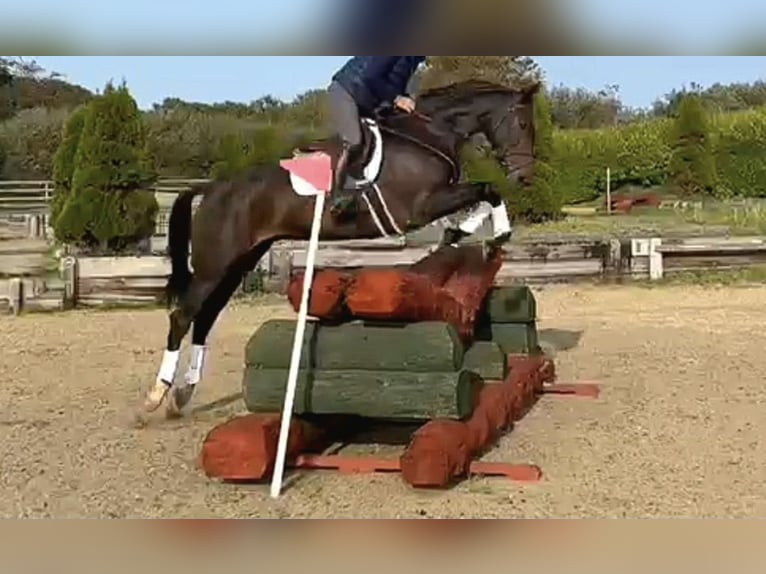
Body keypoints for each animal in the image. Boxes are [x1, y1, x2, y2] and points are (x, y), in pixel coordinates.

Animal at [141, 79, 539, 418]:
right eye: (522, 123)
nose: (525, 176)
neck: (429, 134)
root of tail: (212, 189)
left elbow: (484, 195)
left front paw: (468, 233)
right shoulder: (420, 208)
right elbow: (488, 190)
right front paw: (483, 233)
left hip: (239, 262)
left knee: (205, 317)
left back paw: (183, 394)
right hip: (215, 264)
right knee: (183, 315)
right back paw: (156, 395)